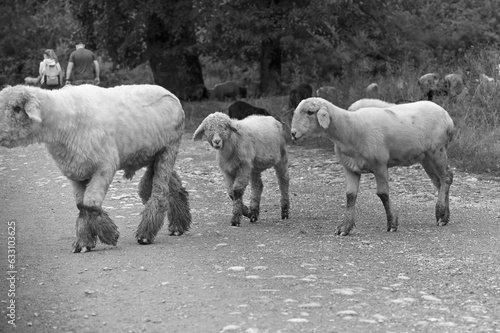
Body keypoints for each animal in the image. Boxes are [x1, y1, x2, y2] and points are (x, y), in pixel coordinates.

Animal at [0, 83, 191, 252]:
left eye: (17, 108)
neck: (62, 121)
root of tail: (172, 95)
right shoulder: (76, 172)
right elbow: (81, 205)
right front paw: (84, 243)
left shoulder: (105, 166)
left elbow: (90, 204)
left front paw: (109, 234)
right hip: (153, 154)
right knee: (168, 187)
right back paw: (178, 225)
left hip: (169, 149)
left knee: (160, 192)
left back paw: (146, 234)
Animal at [292, 97, 456, 235]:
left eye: (310, 112)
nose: (293, 134)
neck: (350, 129)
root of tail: (447, 116)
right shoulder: (350, 168)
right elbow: (350, 196)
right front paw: (345, 227)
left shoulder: (380, 165)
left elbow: (383, 194)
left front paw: (392, 223)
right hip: (426, 157)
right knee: (439, 182)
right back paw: (444, 216)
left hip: (438, 150)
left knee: (447, 177)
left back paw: (441, 213)